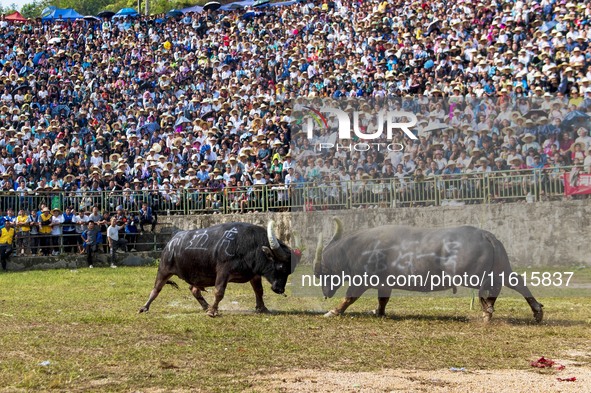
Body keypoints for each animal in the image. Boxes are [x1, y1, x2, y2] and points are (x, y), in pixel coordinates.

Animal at [139, 220, 300, 316]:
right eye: (280, 266)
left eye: (289, 271)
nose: (279, 289)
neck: (250, 246)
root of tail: (172, 241)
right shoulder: (223, 271)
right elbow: (219, 291)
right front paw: (213, 311)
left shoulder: (254, 274)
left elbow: (259, 291)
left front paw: (262, 308)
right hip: (164, 269)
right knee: (156, 289)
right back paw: (144, 307)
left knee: (194, 289)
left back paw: (205, 306)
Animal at [314, 217, 544, 322]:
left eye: (322, 273)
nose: (325, 293)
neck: (355, 248)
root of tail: (486, 235)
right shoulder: (384, 283)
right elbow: (382, 300)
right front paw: (377, 311)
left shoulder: (362, 280)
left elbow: (349, 297)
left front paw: (333, 311)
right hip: (502, 269)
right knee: (516, 283)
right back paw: (536, 311)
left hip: (473, 275)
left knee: (490, 291)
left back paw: (487, 313)